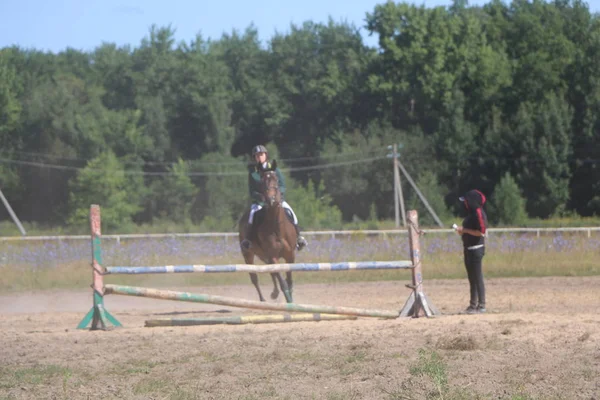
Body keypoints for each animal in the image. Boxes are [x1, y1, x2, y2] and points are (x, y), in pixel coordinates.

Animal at [237, 160, 298, 304]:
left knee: (271, 273)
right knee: (254, 277)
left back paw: (274, 293)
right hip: (248, 254)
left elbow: (289, 280)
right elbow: (283, 282)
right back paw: (263, 299)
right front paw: (288, 300)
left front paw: (291, 300)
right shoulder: (273, 256)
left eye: (276, 179)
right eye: (262, 181)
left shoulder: (290, 255)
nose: (271, 200)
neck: (277, 227)